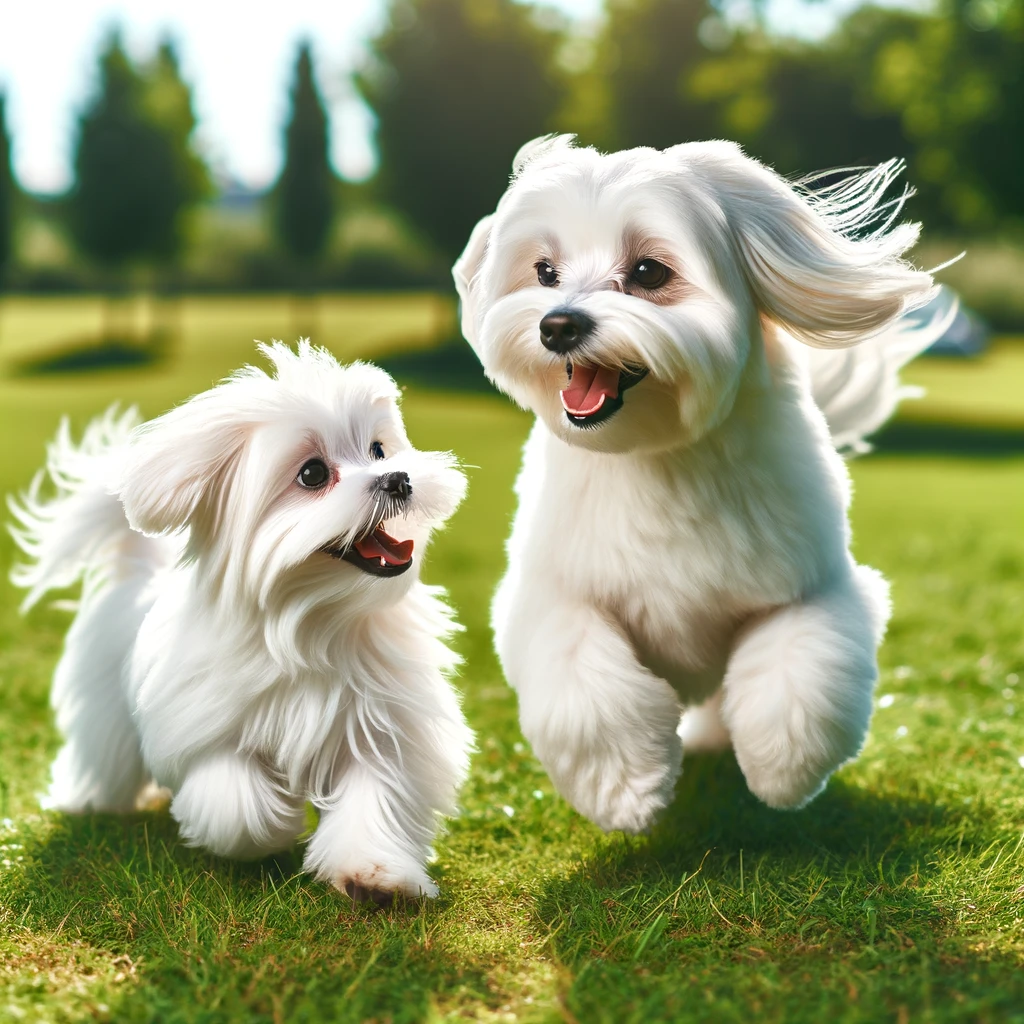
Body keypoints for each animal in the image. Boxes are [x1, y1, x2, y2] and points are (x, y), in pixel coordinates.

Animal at [9, 339, 471, 901]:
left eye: (379, 450)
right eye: (313, 474)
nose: (398, 478)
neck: (312, 621)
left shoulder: (381, 728)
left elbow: (375, 796)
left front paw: (374, 874)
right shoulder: (206, 727)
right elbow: (235, 799)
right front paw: (274, 828)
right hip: (105, 714)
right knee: (105, 758)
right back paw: (89, 801)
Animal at [456, 136, 950, 835]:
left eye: (648, 272)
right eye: (545, 271)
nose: (557, 325)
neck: (656, 452)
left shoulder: (812, 585)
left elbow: (798, 671)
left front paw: (782, 769)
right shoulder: (554, 593)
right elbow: (583, 682)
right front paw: (626, 788)